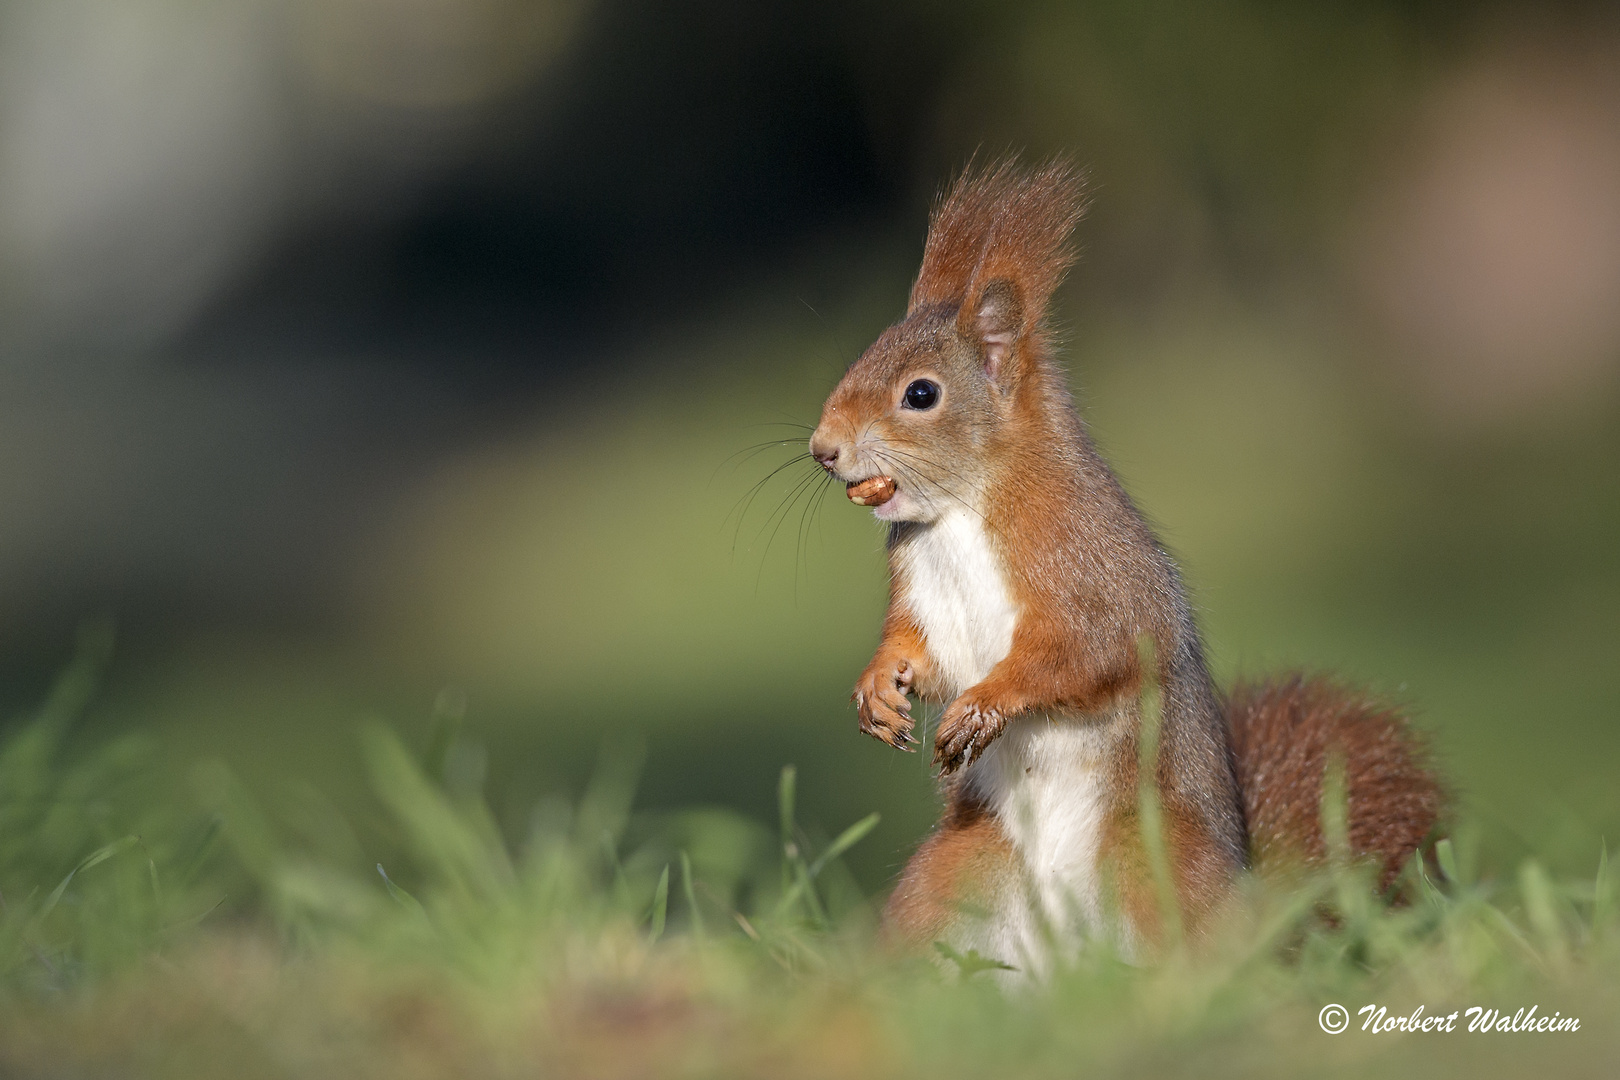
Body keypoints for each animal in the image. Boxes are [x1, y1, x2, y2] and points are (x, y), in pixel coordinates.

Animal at [810, 158, 1445, 971]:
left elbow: (1086, 651)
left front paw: (986, 704)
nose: (823, 448)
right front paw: (878, 689)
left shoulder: (1085, 567)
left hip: (1158, 864)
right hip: (953, 877)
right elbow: (916, 648)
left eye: (921, 394)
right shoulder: (922, 596)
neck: (957, 514)